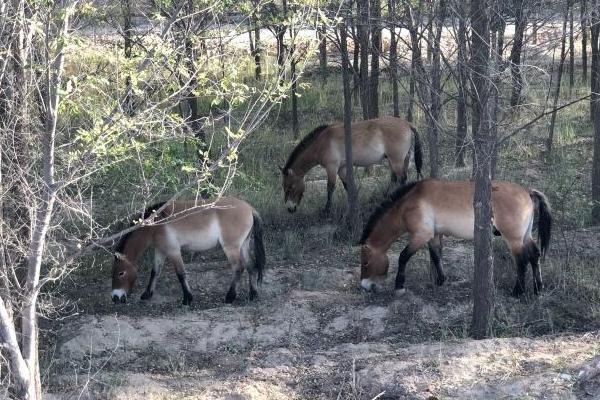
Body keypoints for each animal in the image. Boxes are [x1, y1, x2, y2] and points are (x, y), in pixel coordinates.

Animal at [110, 198, 264, 306]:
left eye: (121, 273)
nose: (115, 297)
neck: (156, 225)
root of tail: (249, 208)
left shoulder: (173, 251)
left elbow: (181, 274)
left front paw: (187, 299)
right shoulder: (160, 251)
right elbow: (155, 272)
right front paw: (147, 295)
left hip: (231, 248)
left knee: (239, 268)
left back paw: (230, 297)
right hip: (243, 245)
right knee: (251, 266)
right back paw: (253, 294)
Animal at [280, 115, 422, 214]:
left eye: (290, 187)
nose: (290, 209)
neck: (322, 143)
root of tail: (407, 123)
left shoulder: (332, 168)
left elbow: (330, 188)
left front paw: (327, 210)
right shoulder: (341, 169)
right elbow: (347, 186)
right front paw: (355, 204)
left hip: (396, 160)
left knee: (402, 178)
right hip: (398, 160)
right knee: (395, 178)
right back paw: (387, 197)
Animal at [358, 180, 552, 296]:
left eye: (365, 263)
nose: (364, 286)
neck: (408, 203)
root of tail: (527, 191)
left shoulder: (421, 235)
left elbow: (403, 257)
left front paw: (399, 286)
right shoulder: (434, 235)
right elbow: (436, 256)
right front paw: (441, 280)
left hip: (513, 239)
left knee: (522, 261)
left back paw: (518, 291)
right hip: (525, 236)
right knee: (534, 256)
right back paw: (538, 288)